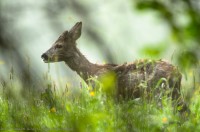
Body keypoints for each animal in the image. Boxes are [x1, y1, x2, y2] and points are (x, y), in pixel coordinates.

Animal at [41, 21, 184, 107]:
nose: (43, 55)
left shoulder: (107, 95)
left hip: (159, 92)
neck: (91, 73)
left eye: (59, 45)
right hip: (172, 93)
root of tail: (178, 73)